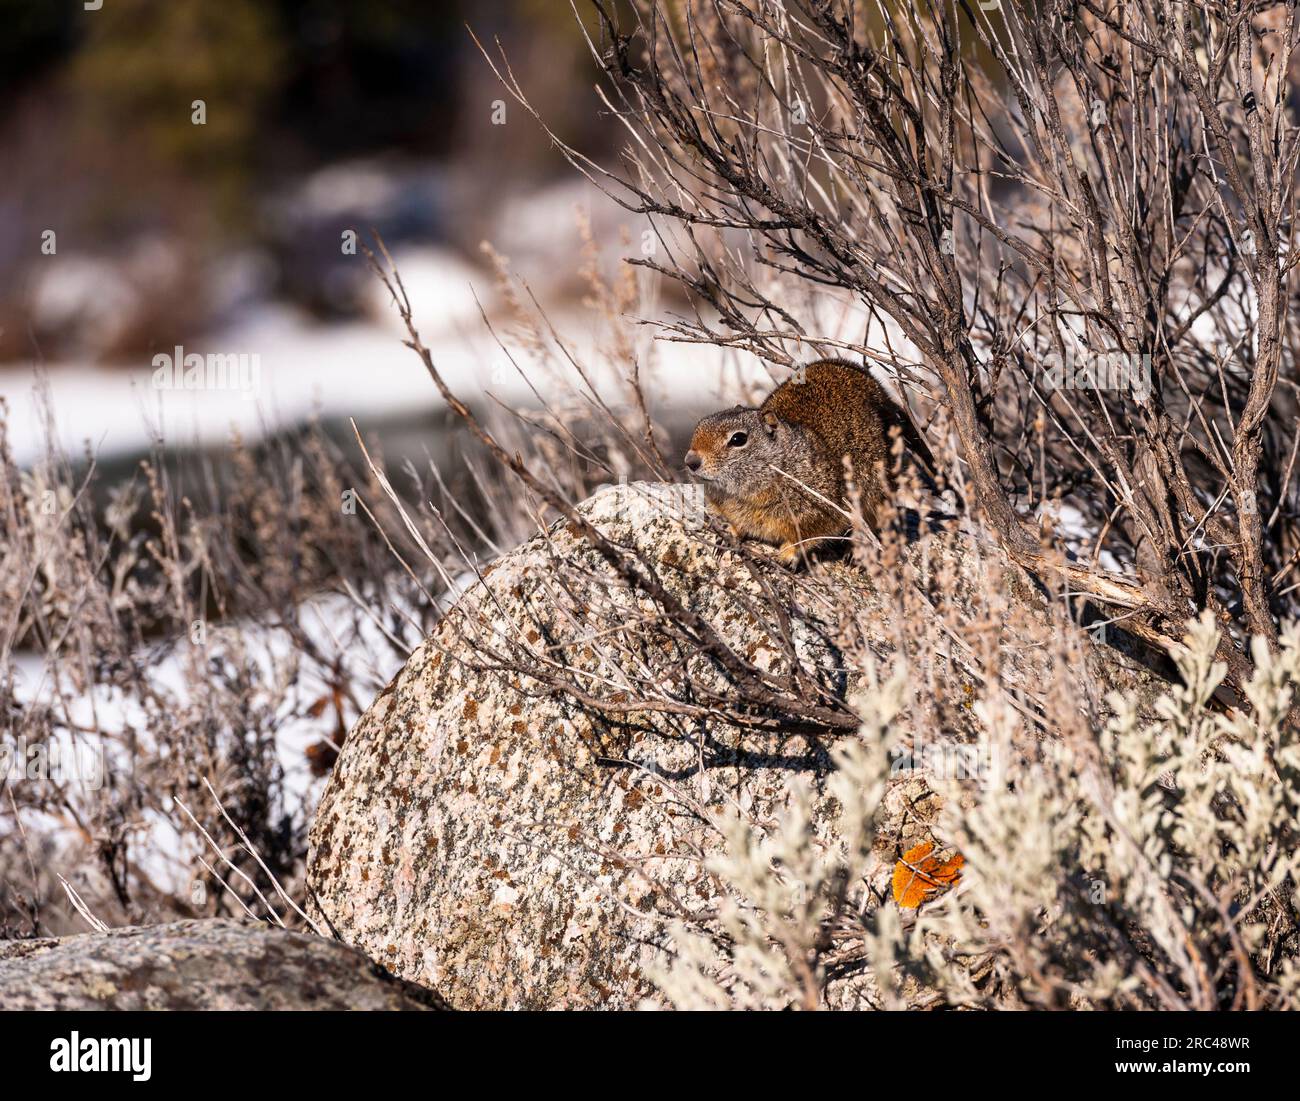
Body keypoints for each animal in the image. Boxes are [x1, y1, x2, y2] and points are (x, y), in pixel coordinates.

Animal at [681, 358, 935, 569]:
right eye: (700, 425)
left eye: (738, 439)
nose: (690, 461)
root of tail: (884, 394)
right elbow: (736, 526)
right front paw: (727, 536)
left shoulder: (819, 513)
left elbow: (802, 539)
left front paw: (782, 559)